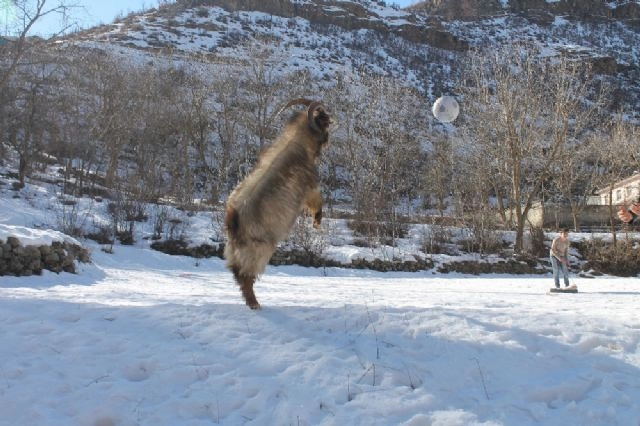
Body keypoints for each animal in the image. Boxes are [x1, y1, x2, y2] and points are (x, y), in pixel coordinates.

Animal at [224, 99, 332, 309]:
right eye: (323, 117)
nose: (333, 120)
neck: (297, 141)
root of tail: (234, 222)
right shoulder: (310, 187)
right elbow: (316, 201)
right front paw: (317, 220)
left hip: (236, 251)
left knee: (235, 271)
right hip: (259, 250)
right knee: (246, 275)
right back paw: (254, 303)